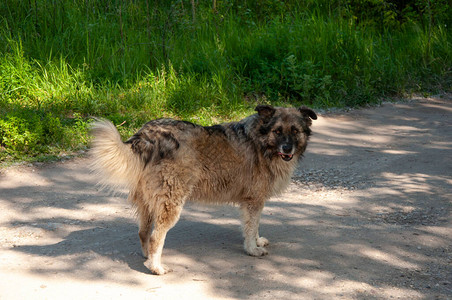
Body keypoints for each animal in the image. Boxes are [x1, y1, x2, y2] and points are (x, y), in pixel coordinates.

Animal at [91, 105, 318, 274]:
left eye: (295, 131)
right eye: (277, 131)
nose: (287, 148)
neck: (261, 143)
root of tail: (146, 136)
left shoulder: (254, 201)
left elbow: (254, 227)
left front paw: (257, 241)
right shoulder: (253, 200)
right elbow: (250, 227)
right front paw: (252, 249)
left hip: (149, 202)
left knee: (143, 232)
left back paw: (148, 258)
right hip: (171, 203)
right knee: (156, 236)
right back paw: (156, 267)